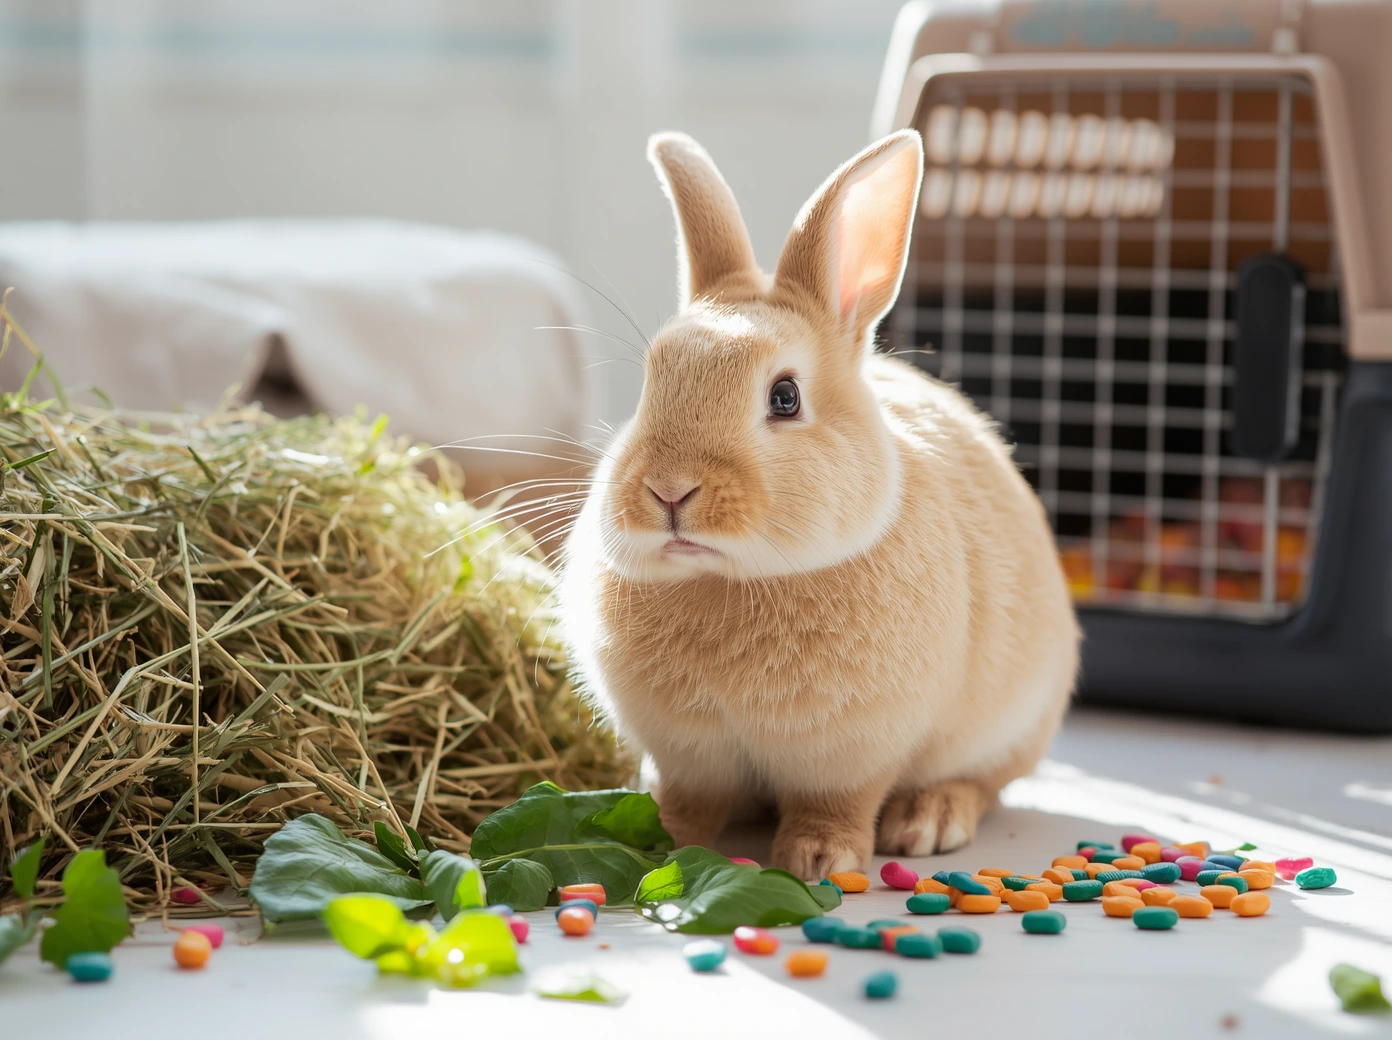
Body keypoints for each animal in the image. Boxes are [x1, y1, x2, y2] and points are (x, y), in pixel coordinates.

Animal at [559, 128, 1080, 880]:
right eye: (652, 380)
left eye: (784, 397)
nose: (669, 490)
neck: (732, 578)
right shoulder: (689, 756)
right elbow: (689, 800)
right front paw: (659, 834)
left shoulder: (853, 754)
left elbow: (838, 801)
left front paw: (819, 859)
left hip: (1013, 722)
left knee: (986, 782)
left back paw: (928, 819)